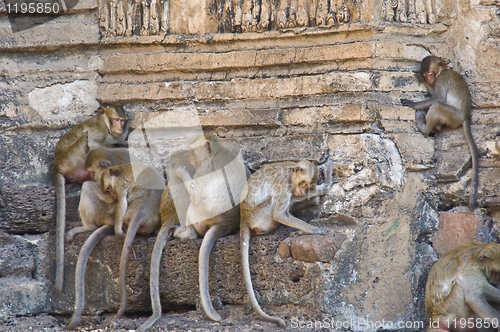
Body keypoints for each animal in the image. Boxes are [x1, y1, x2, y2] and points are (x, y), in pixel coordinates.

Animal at [53, 105, 129, 294]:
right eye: (116, 120)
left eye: (122, 120)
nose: (119, 127)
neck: (105, 122)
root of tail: (57, 164)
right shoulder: (99, 131)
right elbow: (94, 143)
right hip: (74, 157)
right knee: (85, 139)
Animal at [139, 134, 250, 330]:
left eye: (192, 151)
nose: (190, 160)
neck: (216, 150)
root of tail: (225, 224)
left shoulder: (204, 168)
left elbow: (197, 194)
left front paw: (182, 172)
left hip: (201, 213)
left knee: (194, 203)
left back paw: (184, 233)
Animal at [239, 160, 324, 326]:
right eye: (304, 183)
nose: (303, 191)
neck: (291, 174)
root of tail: (243, 218)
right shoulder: (283, 185)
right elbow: (279, 214)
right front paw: (312, 229)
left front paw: (320, 189)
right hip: (260, 214)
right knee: (273, 205)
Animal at [400, 54, 478, 210]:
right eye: (426, 74)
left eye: (430, 73)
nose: (428, 78)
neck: (442, 71)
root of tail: (466, 116)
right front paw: (423, 81)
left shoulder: (441, 80)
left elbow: (439, 97)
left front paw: (415, 104)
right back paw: (435, 127)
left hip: (453, 116)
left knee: (437, 105)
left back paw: (424, 128)